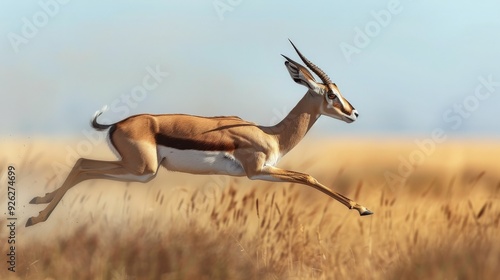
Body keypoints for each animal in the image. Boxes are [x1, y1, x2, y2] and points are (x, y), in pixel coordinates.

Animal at [25, 40, 374, 228]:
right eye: (330, 94)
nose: (354, 113)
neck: (271, 134)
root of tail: (116, 124)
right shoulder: (258, 170)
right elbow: (308, 177)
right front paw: (362, 208)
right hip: (143, 170)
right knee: (84, 166)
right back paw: (36, 219)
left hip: (138, 170)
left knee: (81, 163)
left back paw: (36, 202)